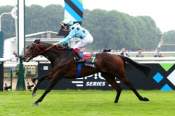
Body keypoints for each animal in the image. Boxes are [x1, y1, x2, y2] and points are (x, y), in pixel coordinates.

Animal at [23, 39, 151, 105]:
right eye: (26, 47)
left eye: (31, 48)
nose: (23, 57)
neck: (60, 56)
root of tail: (118, 55)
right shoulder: (54, 72)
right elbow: (40, 78)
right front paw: (32, 89)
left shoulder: (59, 74)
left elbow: (48, 88)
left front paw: (38, 100)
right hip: (107, 75)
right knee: (118, 88)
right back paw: (115, 102)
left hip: (119, 73)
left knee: (129, 84)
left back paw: (142, 98)